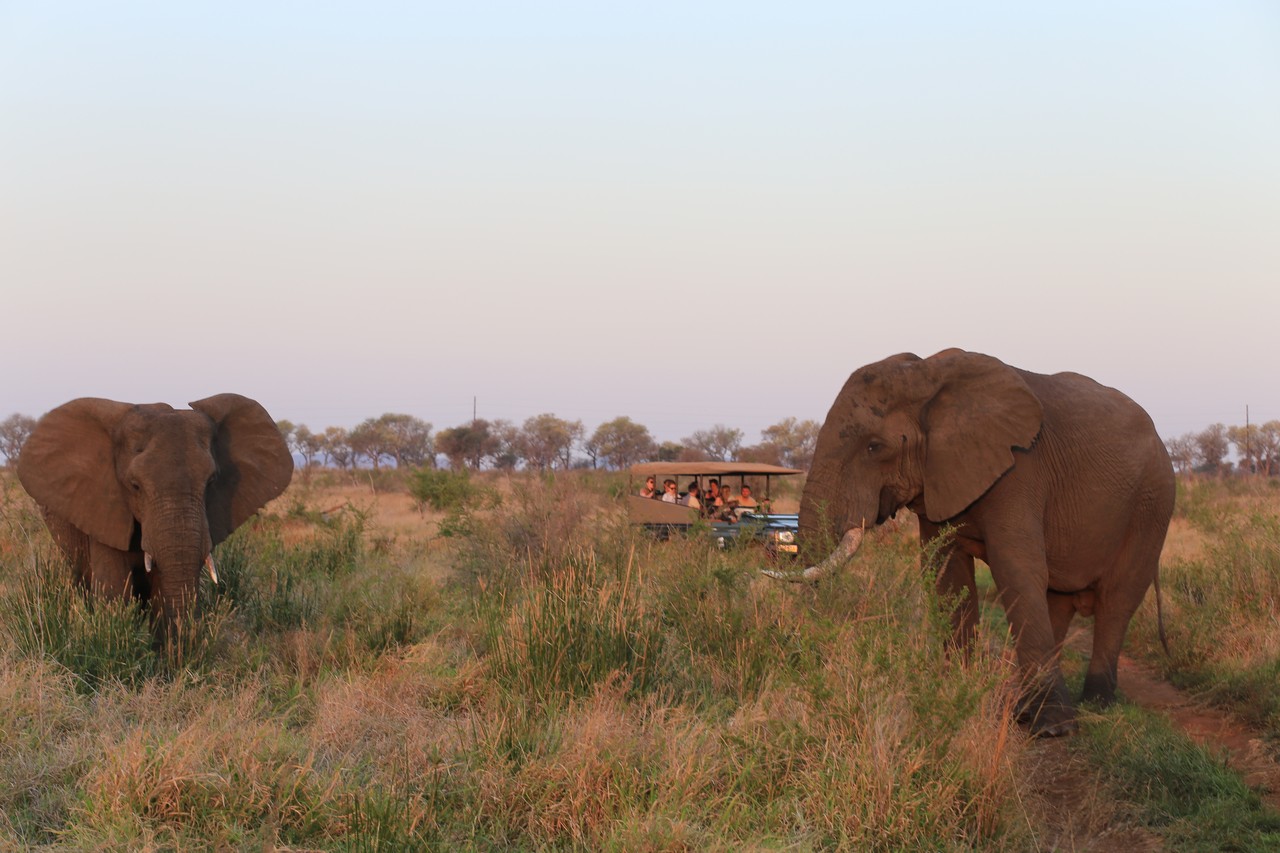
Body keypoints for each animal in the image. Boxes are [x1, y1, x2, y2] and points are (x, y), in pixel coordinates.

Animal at [769, 349, 1175, 736]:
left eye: (874, 447)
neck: (928, 375)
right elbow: (946, 575)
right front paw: (952, 697)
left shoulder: (1018, 469)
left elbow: (1016, 569)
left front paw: (1054, 730)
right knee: (1058, 601)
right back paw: (1027, 710)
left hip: (1151, 505)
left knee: (1117, 601)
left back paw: (1093, 704)